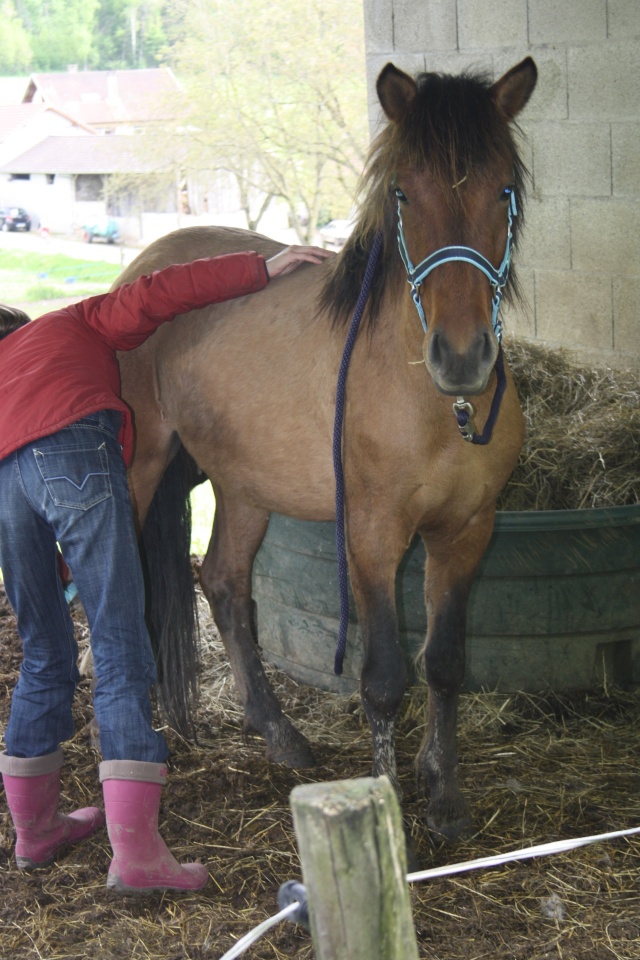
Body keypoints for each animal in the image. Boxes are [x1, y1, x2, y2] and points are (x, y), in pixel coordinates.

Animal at [119, 58, 536, 840]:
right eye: (403, 192)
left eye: (504, 190)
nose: (462, 356)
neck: (437, 407)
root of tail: (142, 268)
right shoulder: (371, 536)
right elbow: (384, 680)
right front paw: (389, 805)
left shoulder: (466, 531)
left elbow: (444, 663)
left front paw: (445, 794)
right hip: (139, 468)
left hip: (244, 487)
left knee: (224, 584)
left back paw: (277, 731)